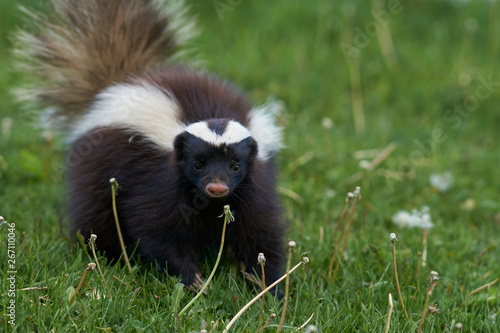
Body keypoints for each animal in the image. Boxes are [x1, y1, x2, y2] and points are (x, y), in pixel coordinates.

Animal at [15, 0, 288, 290]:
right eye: (197, 164)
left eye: (236, 166)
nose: (217, 187)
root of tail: (116, 85)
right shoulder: (158, 181)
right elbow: (157, 228)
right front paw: (193, 279)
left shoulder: (253, 184)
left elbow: (260, 230)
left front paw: (268, 285)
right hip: (97, 166)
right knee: (96, 214)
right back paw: (105, 256)